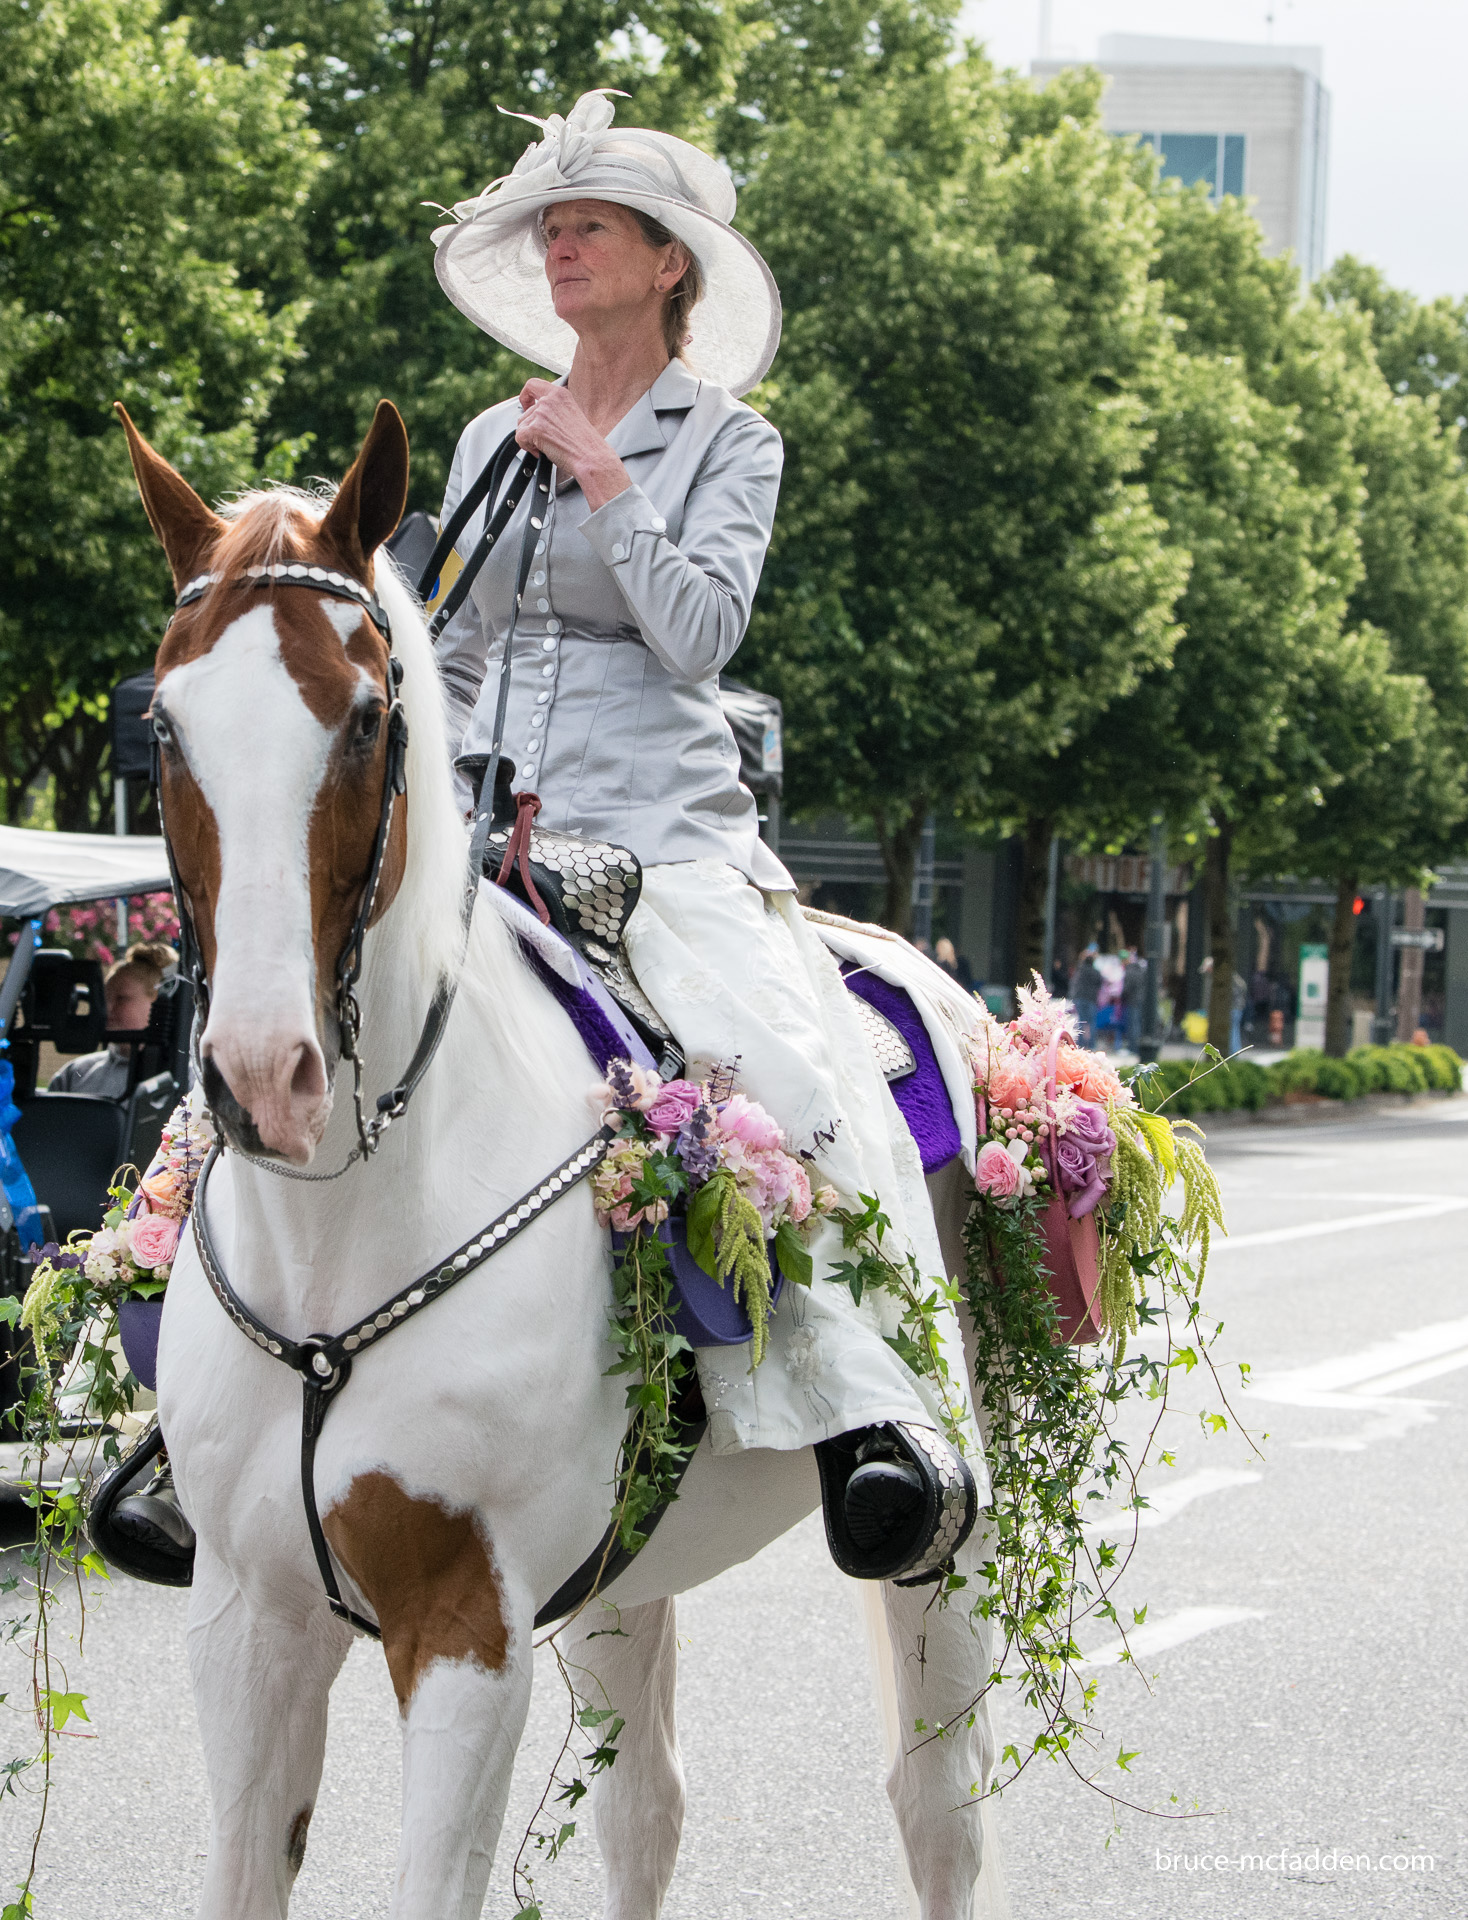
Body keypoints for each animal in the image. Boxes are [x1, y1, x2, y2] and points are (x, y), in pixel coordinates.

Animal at [120, 401, 1005, 1920]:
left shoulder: (462, 1629)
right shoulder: (249, 1616)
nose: (262, 1078)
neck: (348, 1225)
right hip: (618, 1574)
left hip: (958, 1537)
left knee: (937, 1809)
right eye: (165, 725)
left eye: (366, 716)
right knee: (645, 1808)